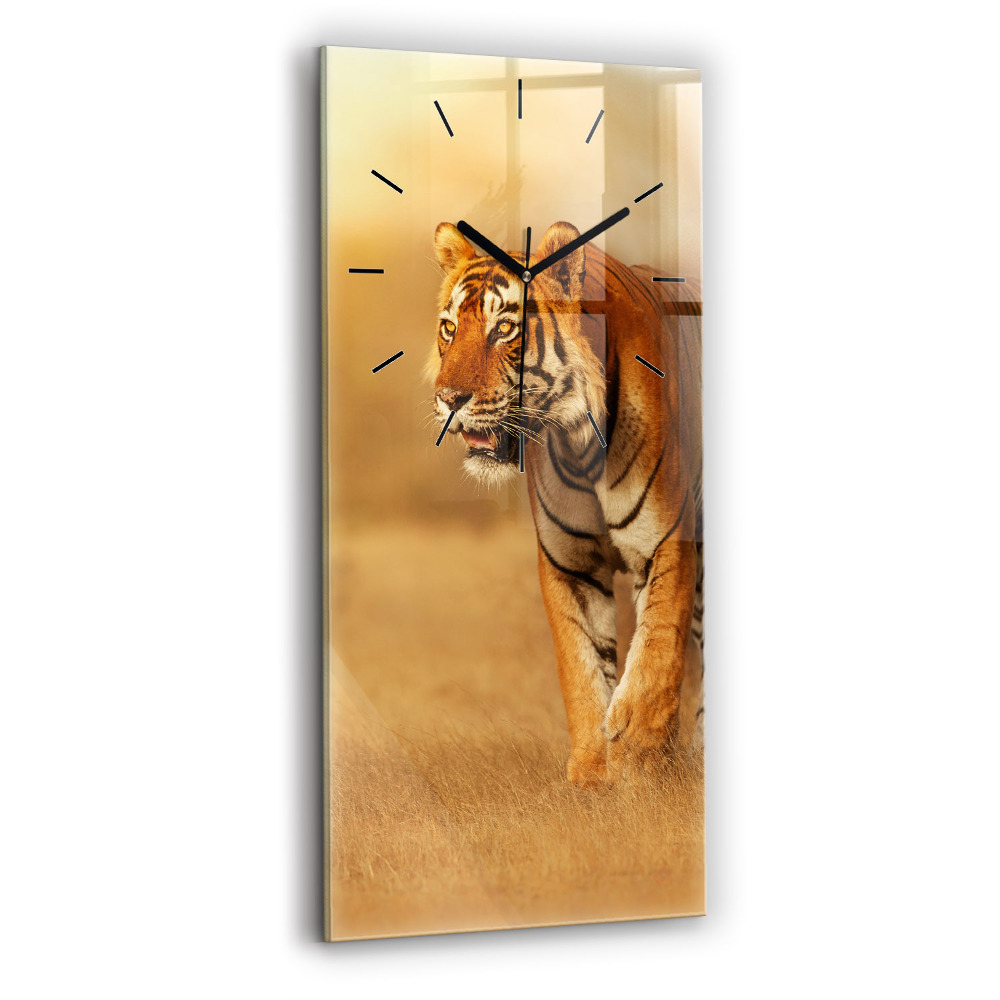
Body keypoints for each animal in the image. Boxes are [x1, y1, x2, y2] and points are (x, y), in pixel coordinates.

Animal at [429, 220, 702, 786]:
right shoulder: (569, 563)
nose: (448, 399)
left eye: (505, 329)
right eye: (448, 328)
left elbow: (657, 651)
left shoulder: (668, 541)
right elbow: (581, 665)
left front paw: (640, 762)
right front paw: (593, 773)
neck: (579, 446)